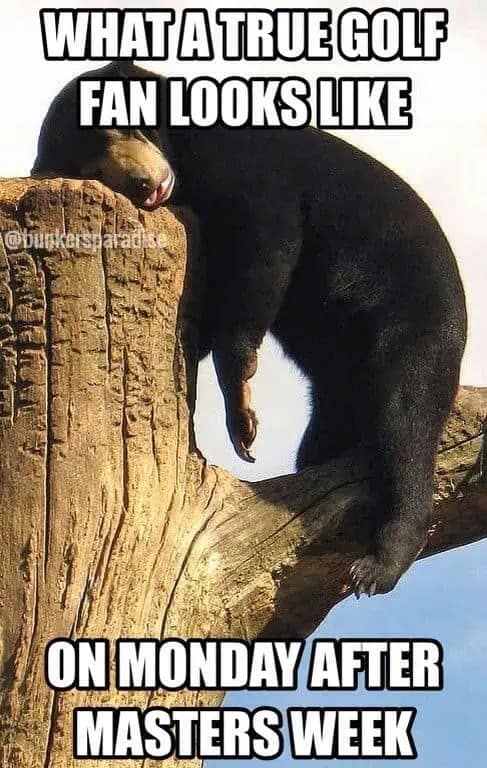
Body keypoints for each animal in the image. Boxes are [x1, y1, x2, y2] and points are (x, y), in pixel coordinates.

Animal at [32, 61, 467, 597]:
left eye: (123, 127)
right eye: (92, 169)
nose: (143, 185)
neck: (188, 162)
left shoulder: (249, 165)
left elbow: (268, 243)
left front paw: (242, 418)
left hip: (414, 321)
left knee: (408, 420)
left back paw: (377, 565)